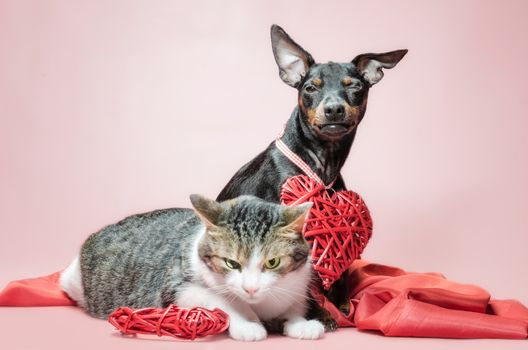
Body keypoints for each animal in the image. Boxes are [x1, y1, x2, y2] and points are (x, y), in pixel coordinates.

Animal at [217, 25, 406, 330]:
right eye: (310, 88)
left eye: (354, 86)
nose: (334, 109)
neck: (321, 163)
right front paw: (320, 314)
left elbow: (338, 273)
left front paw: (342, 305)